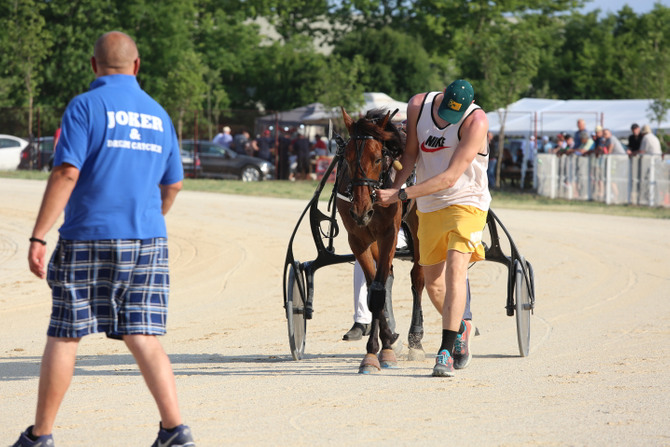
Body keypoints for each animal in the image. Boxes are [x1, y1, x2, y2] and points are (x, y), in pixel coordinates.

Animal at [338, 108, 428, 374]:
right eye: (346, 157)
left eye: (378, 158)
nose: (360, 210)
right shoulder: (358, 238)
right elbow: (374, 290)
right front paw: (383, 344)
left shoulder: (388, 232)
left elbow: (378, 292)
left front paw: (379, 350)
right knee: (386, 276)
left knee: (418, 279)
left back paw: (416, 339)